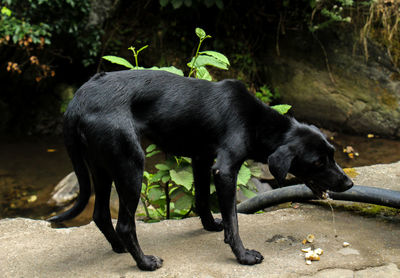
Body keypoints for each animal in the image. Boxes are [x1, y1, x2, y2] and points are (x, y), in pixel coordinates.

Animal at [47, 70, 354, 272]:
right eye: (318, 162)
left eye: (333, 154)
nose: (349, 184)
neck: (255, 120)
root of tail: (77, 101)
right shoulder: (225, 169)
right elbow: (233, 219)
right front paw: (243, 256)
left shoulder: (201, 159)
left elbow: (203, 199)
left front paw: (210, 225)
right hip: (129, 164)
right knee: (125, 224)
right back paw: (145, 262)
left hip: (101, 167)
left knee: (100, 214)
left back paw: (119, 248)